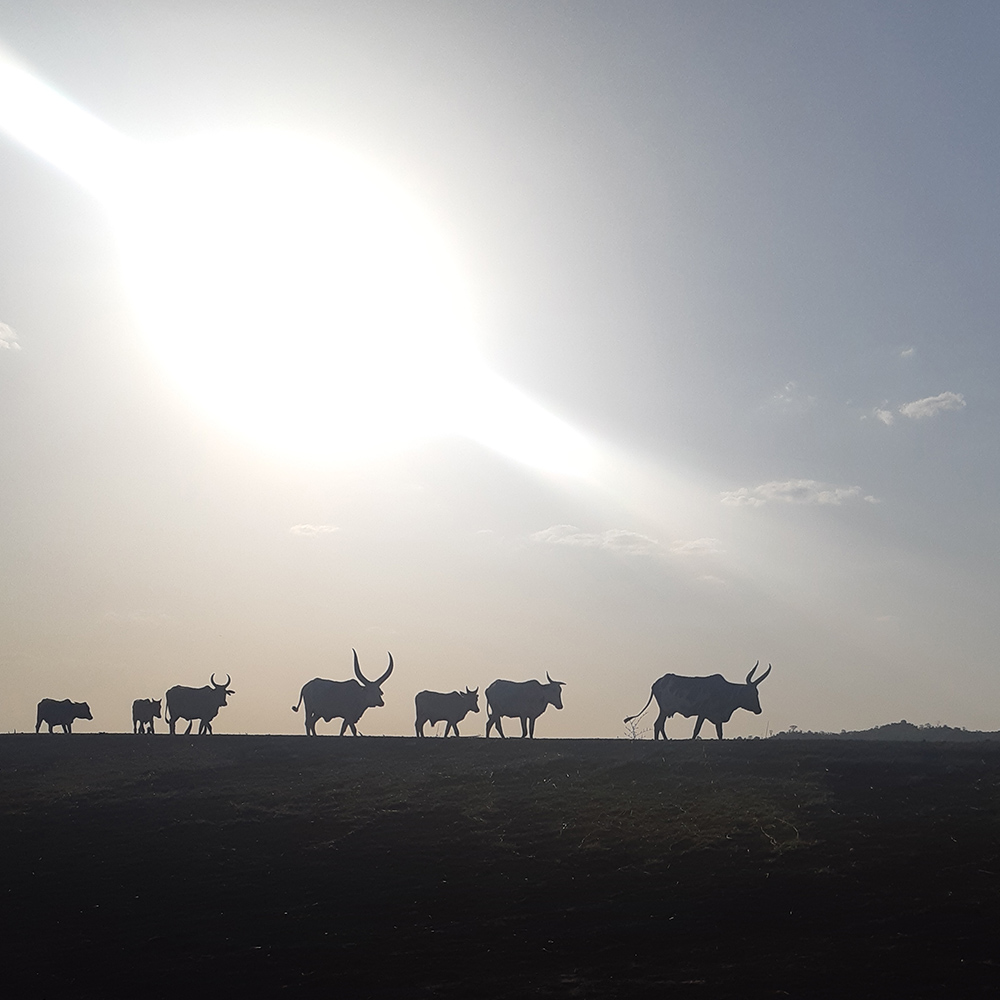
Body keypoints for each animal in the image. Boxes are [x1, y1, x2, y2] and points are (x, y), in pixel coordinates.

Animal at [624, 662, 772, 740]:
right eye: (752, 693)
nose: (759, 710)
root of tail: (656, 683)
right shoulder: (703, 714)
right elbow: (696, 730)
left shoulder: (717, 718)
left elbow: (720, 734)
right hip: (665, 709)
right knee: (658, 724)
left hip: (665, 711)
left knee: (659, 724)